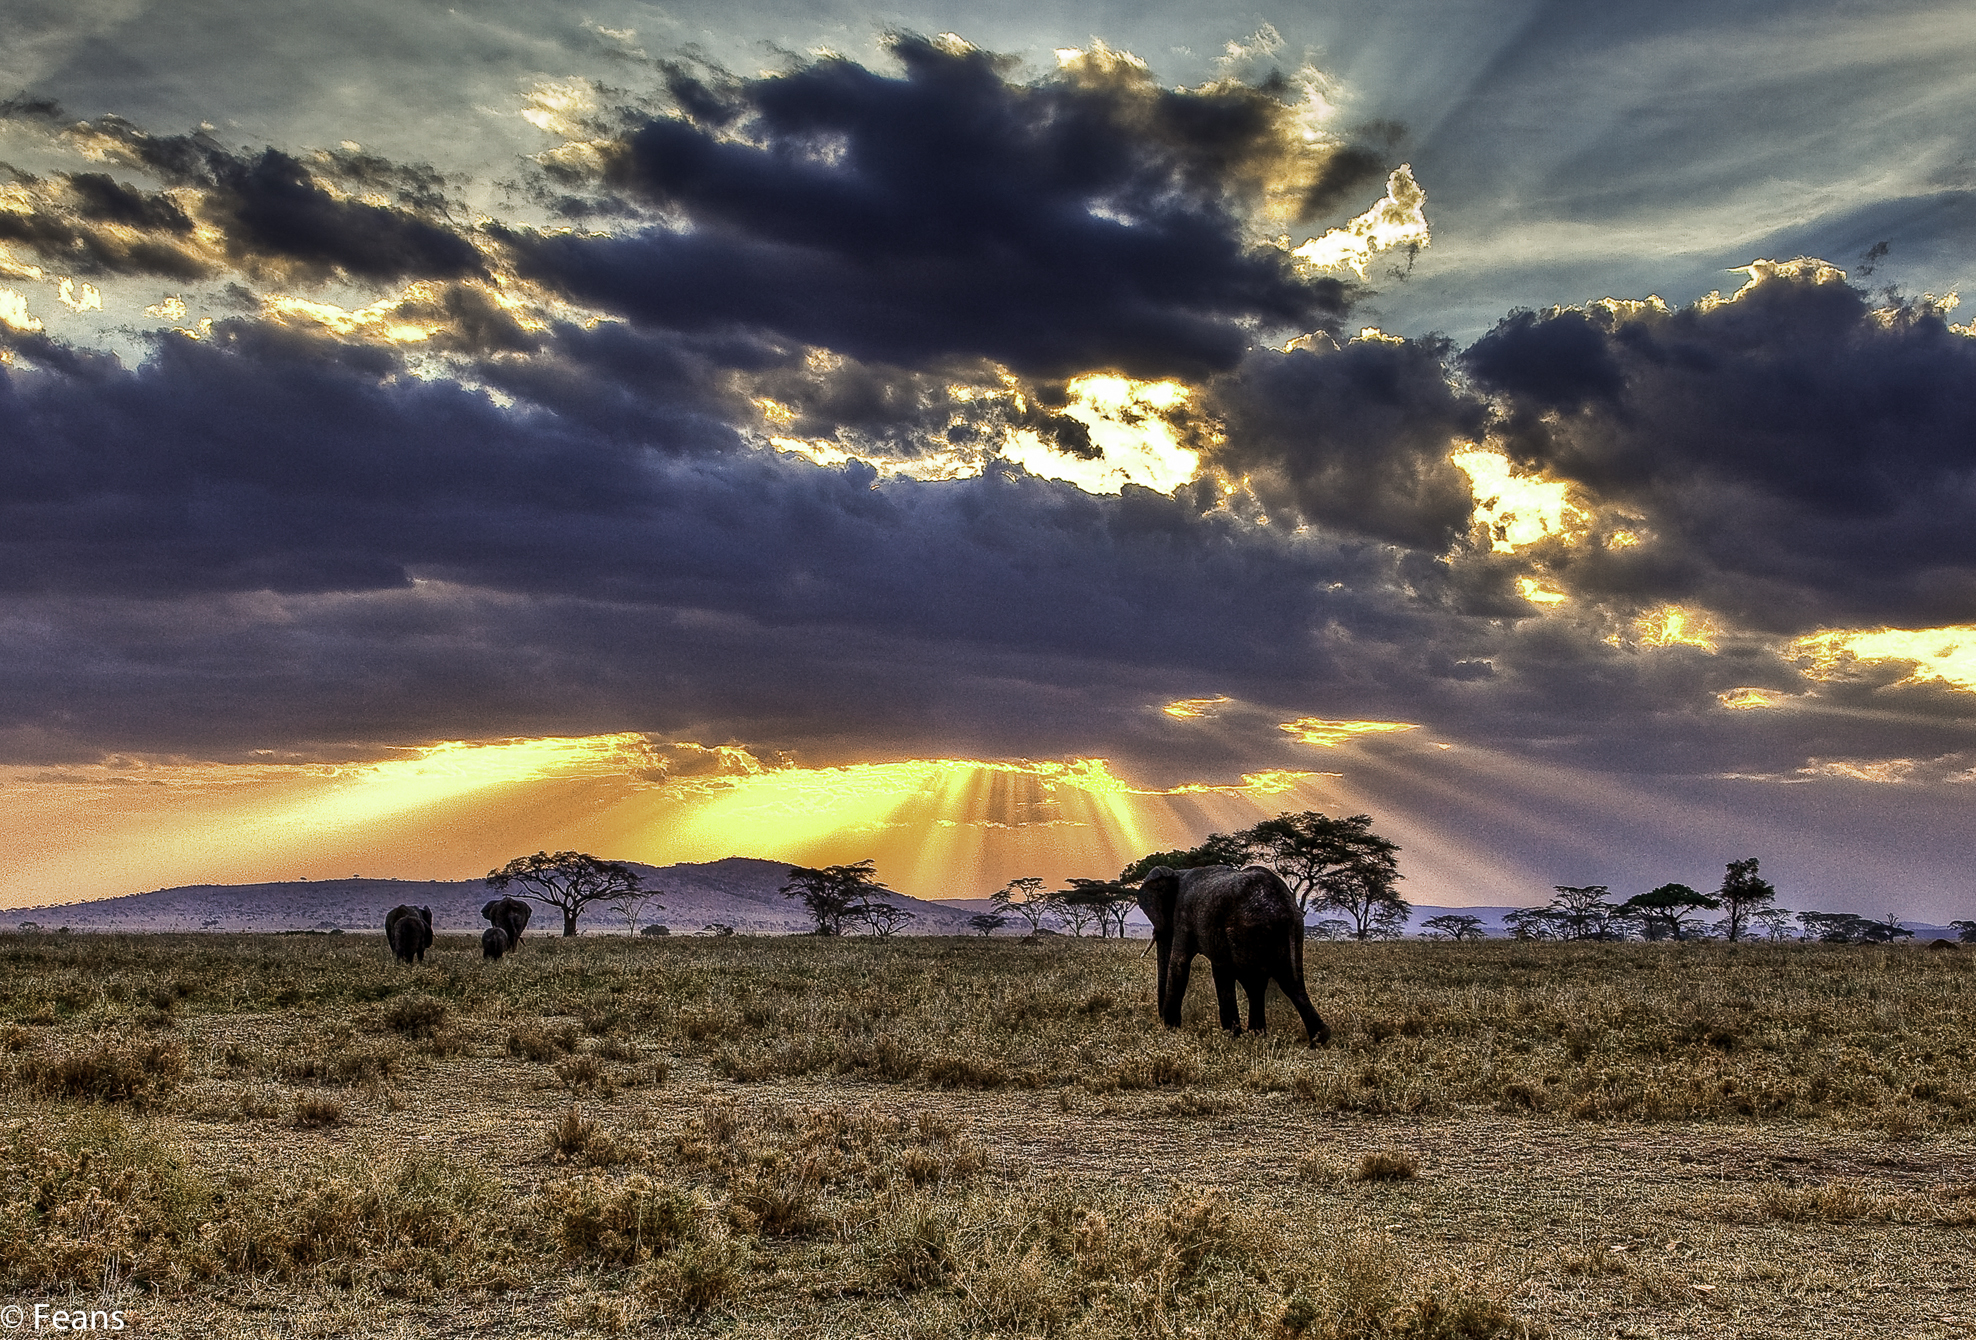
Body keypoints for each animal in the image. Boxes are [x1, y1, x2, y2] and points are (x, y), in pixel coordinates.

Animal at [1138, 869, 1335, 1051]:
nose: (1161, 1018)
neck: (1178, 873)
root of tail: (1283, 905)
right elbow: (1220, 971)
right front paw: (1231, 1033)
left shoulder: (1183, 915)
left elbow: (1179, 963)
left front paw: (1171, 1029)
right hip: (1293, 928)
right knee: (1291, 981)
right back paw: (1317, 1038)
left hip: (1248, 928)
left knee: (1254, 983)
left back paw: (1256, 1034)